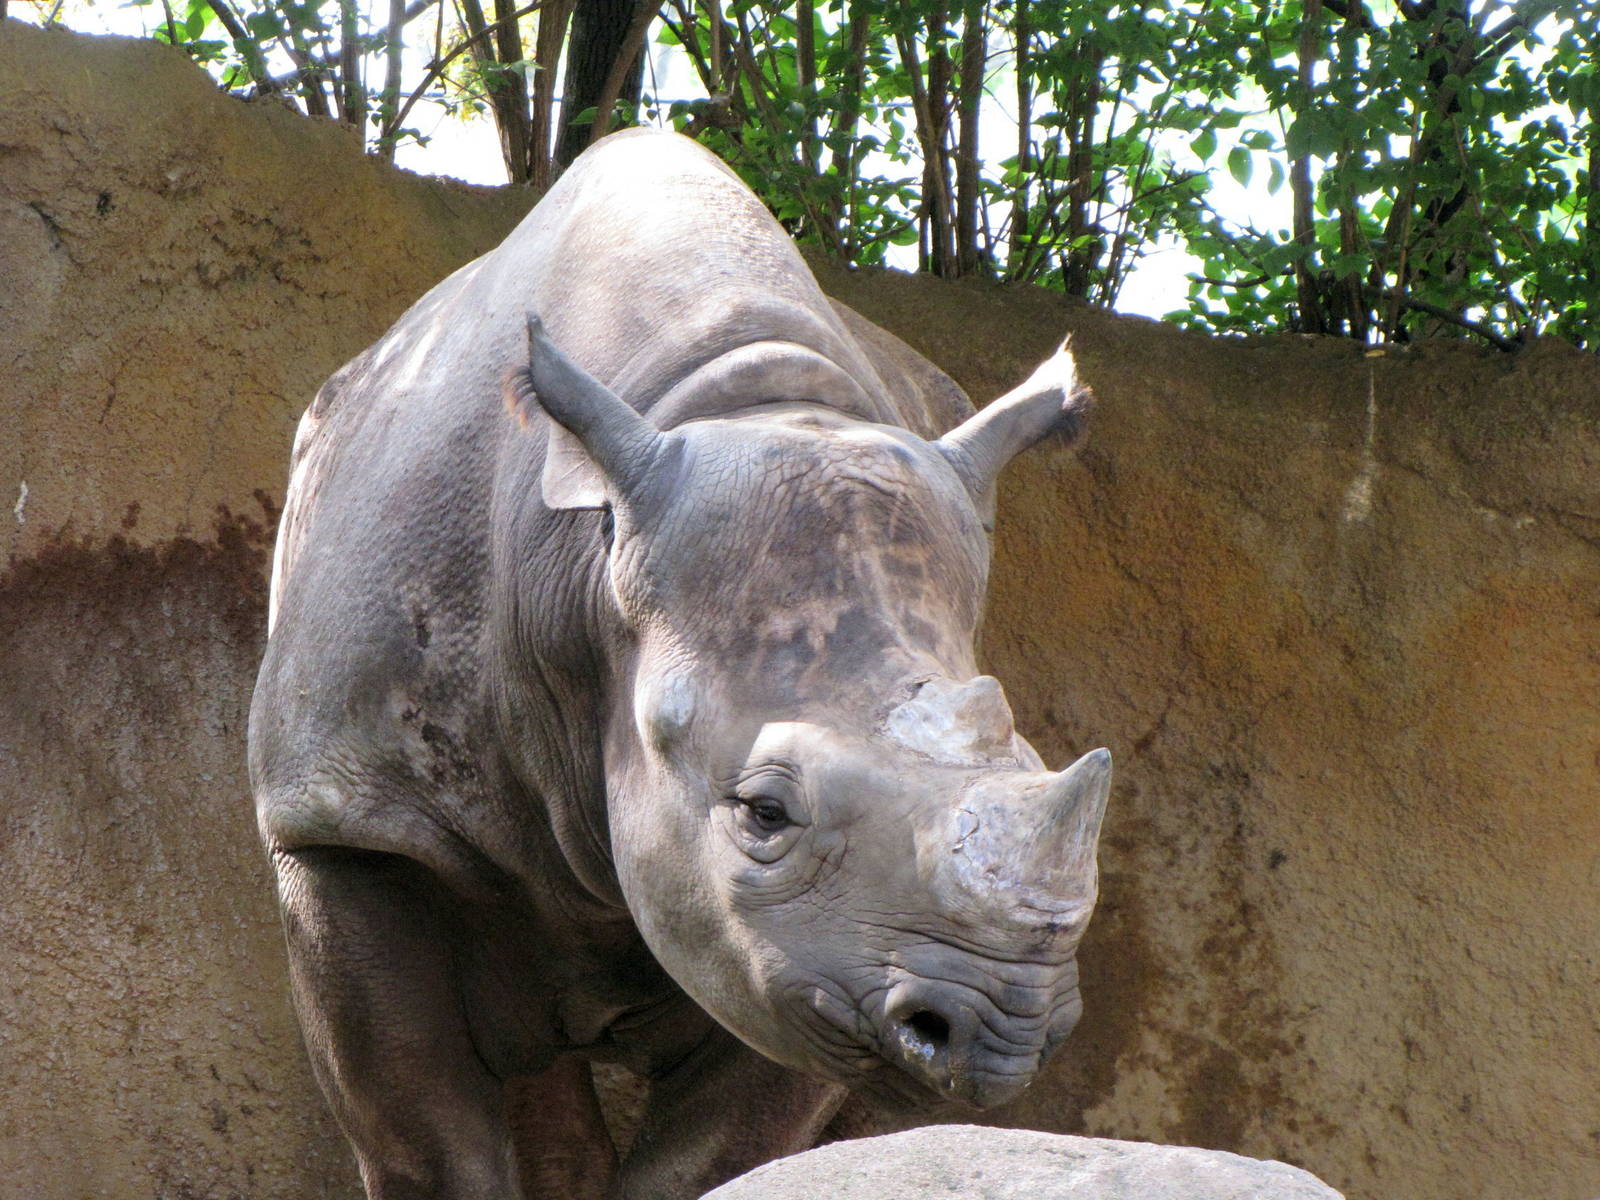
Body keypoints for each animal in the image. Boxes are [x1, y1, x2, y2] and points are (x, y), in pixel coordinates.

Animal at [248, 129, 1110, 1200]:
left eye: (1034, 762)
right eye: (765, 813)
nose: (1004, 1029)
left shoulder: (812, 956)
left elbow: (718, 1149)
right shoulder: (346, 814)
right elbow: (428, 1144)